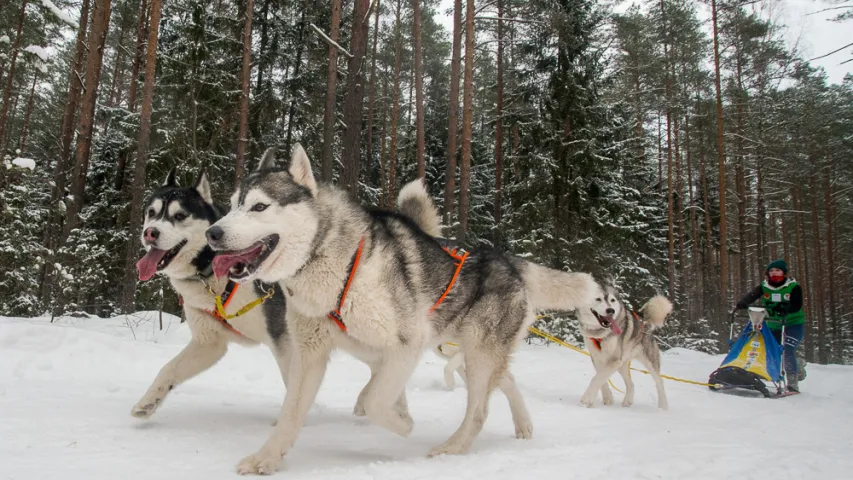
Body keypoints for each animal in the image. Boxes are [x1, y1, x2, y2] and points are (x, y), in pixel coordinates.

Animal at [205, 144, 600, 474]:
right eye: (232, 205)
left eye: (259, 207)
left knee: (479, 410)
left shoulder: (407, 343)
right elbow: (292, 412)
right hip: (468, 353)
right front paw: (266, 458)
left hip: (477, 355)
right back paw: (523, 425)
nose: (213, 233)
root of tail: (509, 261)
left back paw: (452, 448)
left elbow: (376, 402)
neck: (335, 263)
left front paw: (403, 424)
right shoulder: (311, 355)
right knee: (507, 380)